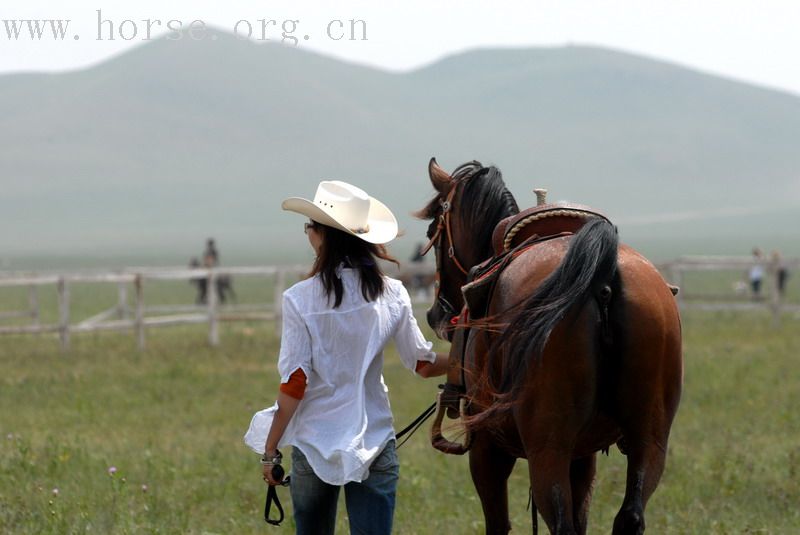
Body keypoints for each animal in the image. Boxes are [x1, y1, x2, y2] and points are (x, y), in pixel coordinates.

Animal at [416, 159, 684, 535]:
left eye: (432, 233)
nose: (435, 313)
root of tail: (603, 272)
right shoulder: (583, 455)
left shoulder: (486, 449)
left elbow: (498, 523)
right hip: (650, 439)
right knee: (630, 515)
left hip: (547, 448)